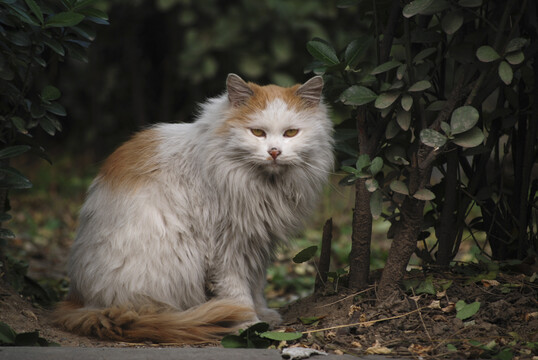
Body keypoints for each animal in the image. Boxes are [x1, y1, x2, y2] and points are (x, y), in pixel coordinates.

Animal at [53, 73, 330, 344]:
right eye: (257, 132)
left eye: (291, 133)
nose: (274, 152)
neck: (264, 187)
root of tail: (77, 300)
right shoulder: (226, 248)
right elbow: (238, 290)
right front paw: (249, 324)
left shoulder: (257, 242)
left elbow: (257, 286)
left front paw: (264, 315)